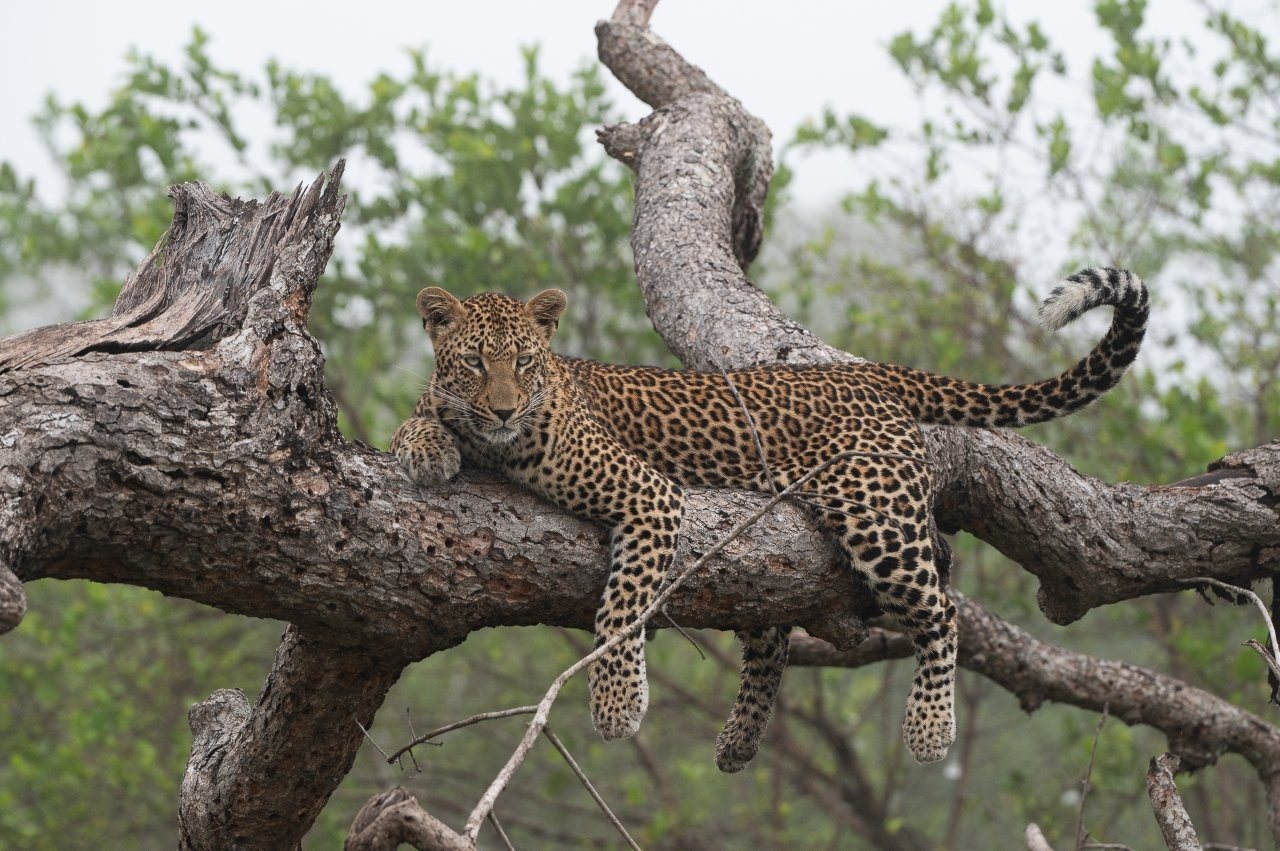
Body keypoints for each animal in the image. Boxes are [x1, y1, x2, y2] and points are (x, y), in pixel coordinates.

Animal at [390, 267, 1148, 769]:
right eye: (472, 363)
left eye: (522, 361)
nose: (503, 409)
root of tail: (862, 373)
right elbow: (417, 418)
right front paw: (427, 445)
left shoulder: (649, 494)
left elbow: (621, 611)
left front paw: (615, 703)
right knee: (773, 633)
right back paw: (740, 738)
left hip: (876, 513)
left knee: (942, 609)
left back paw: (931, 727)